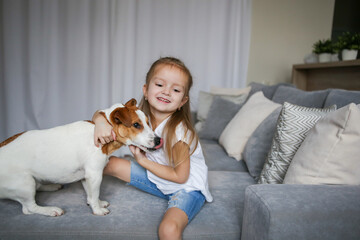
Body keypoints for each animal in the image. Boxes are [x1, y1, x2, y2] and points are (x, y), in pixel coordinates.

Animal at [0, 98, 162, 217]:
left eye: (148, 122)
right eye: (136, 125)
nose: (159, 140)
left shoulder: (86, 176)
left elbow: (91, 194)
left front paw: (96, 203)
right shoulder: (95, 174)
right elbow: (95, 193)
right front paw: (97, 210)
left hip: (32, 182)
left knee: (37, 189)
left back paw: (51, 186)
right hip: (25, 184)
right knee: (29, 208)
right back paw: (51, 210)